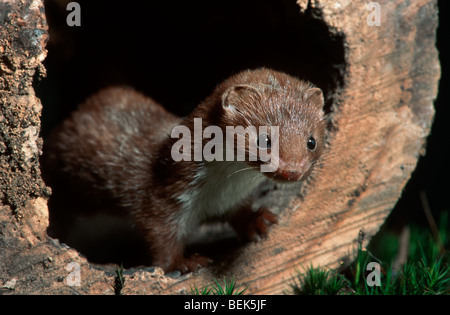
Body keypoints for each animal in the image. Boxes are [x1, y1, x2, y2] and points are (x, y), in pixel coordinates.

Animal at [44, 69, 326, 274]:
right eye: (265, 139)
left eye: (311, 141)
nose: (292, 171)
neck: (218, 190)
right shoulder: (165, 192)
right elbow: (160, 232)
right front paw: (184, 263)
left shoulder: (230, 198)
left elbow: (240, 211)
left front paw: (257, 221)